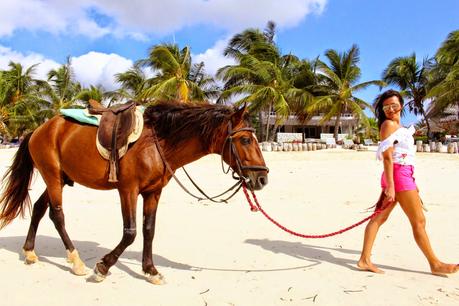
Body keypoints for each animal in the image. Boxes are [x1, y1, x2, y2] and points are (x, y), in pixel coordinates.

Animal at [0, 101, 268, 284]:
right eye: (245, 140)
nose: (262, 178)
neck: (158, 142)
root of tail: (39, 129)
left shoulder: (153, 192)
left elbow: (149, 230)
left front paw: (150, 270)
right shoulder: (128, 190)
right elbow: (130, 233)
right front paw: (103, 267)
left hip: (61, 179)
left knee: (38, 208)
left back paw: (30, 252)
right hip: (53, 177)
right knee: (57, 215)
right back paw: (76, 261)